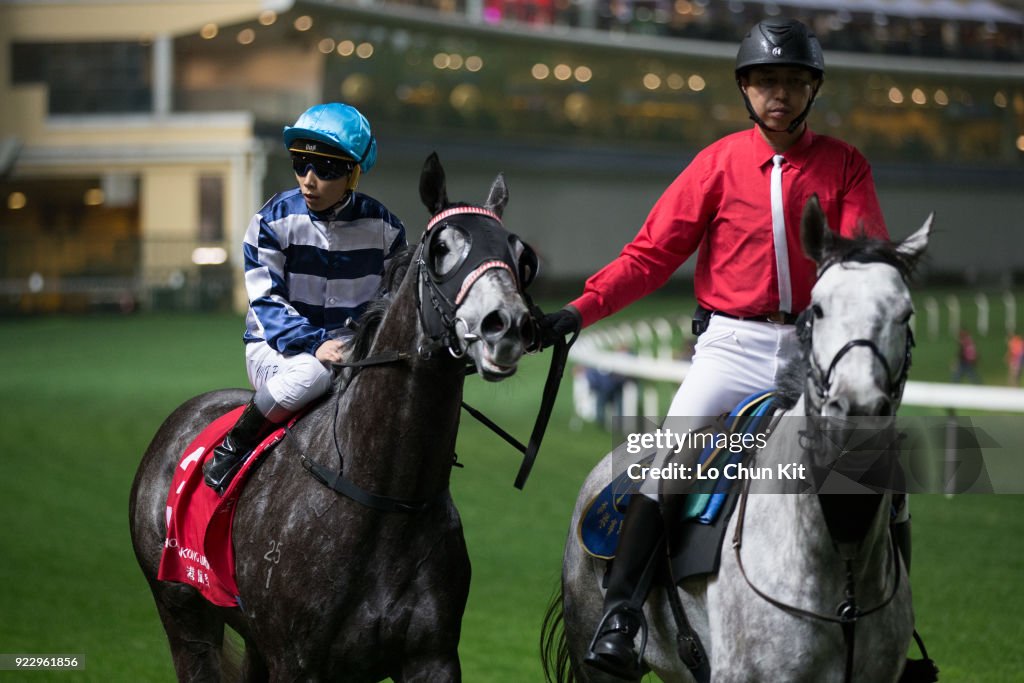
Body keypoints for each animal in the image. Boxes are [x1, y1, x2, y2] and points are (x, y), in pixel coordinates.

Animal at [130, 154, 536, 683]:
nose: (506, 325)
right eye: (441, 247)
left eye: (519, 253)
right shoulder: (297, 660)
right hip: (183, 612)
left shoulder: (433, 658)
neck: (385, 499)